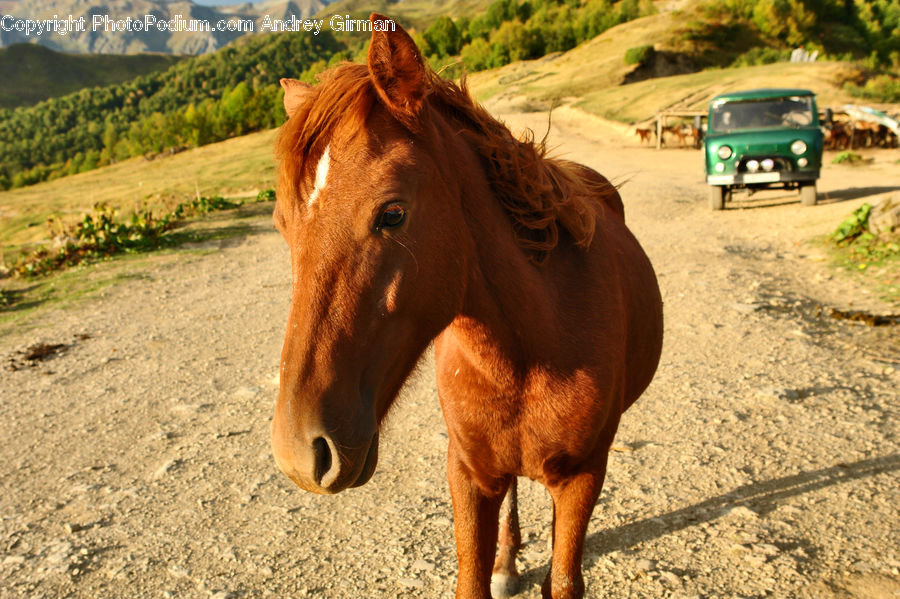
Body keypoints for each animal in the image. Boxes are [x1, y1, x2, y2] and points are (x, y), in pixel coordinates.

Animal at [268, 14, 660, 599]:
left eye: (392, 213)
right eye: (281, 225)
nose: (299, 454)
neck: (535, 342)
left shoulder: (584, 477)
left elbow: (564, 580)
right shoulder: (468, 474)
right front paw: (498, 565)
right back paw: (508, 562)